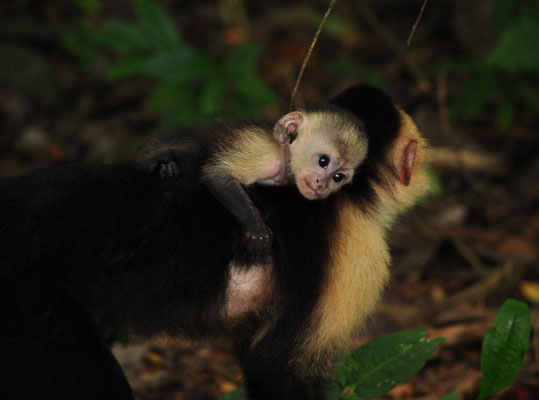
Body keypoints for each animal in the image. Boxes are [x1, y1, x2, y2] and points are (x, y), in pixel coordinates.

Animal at [0, 84, 430, 400]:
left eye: (340, 176)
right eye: (324, 163)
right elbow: (279, 368)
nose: (323, 186)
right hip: (27, 305)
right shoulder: (356, 254)